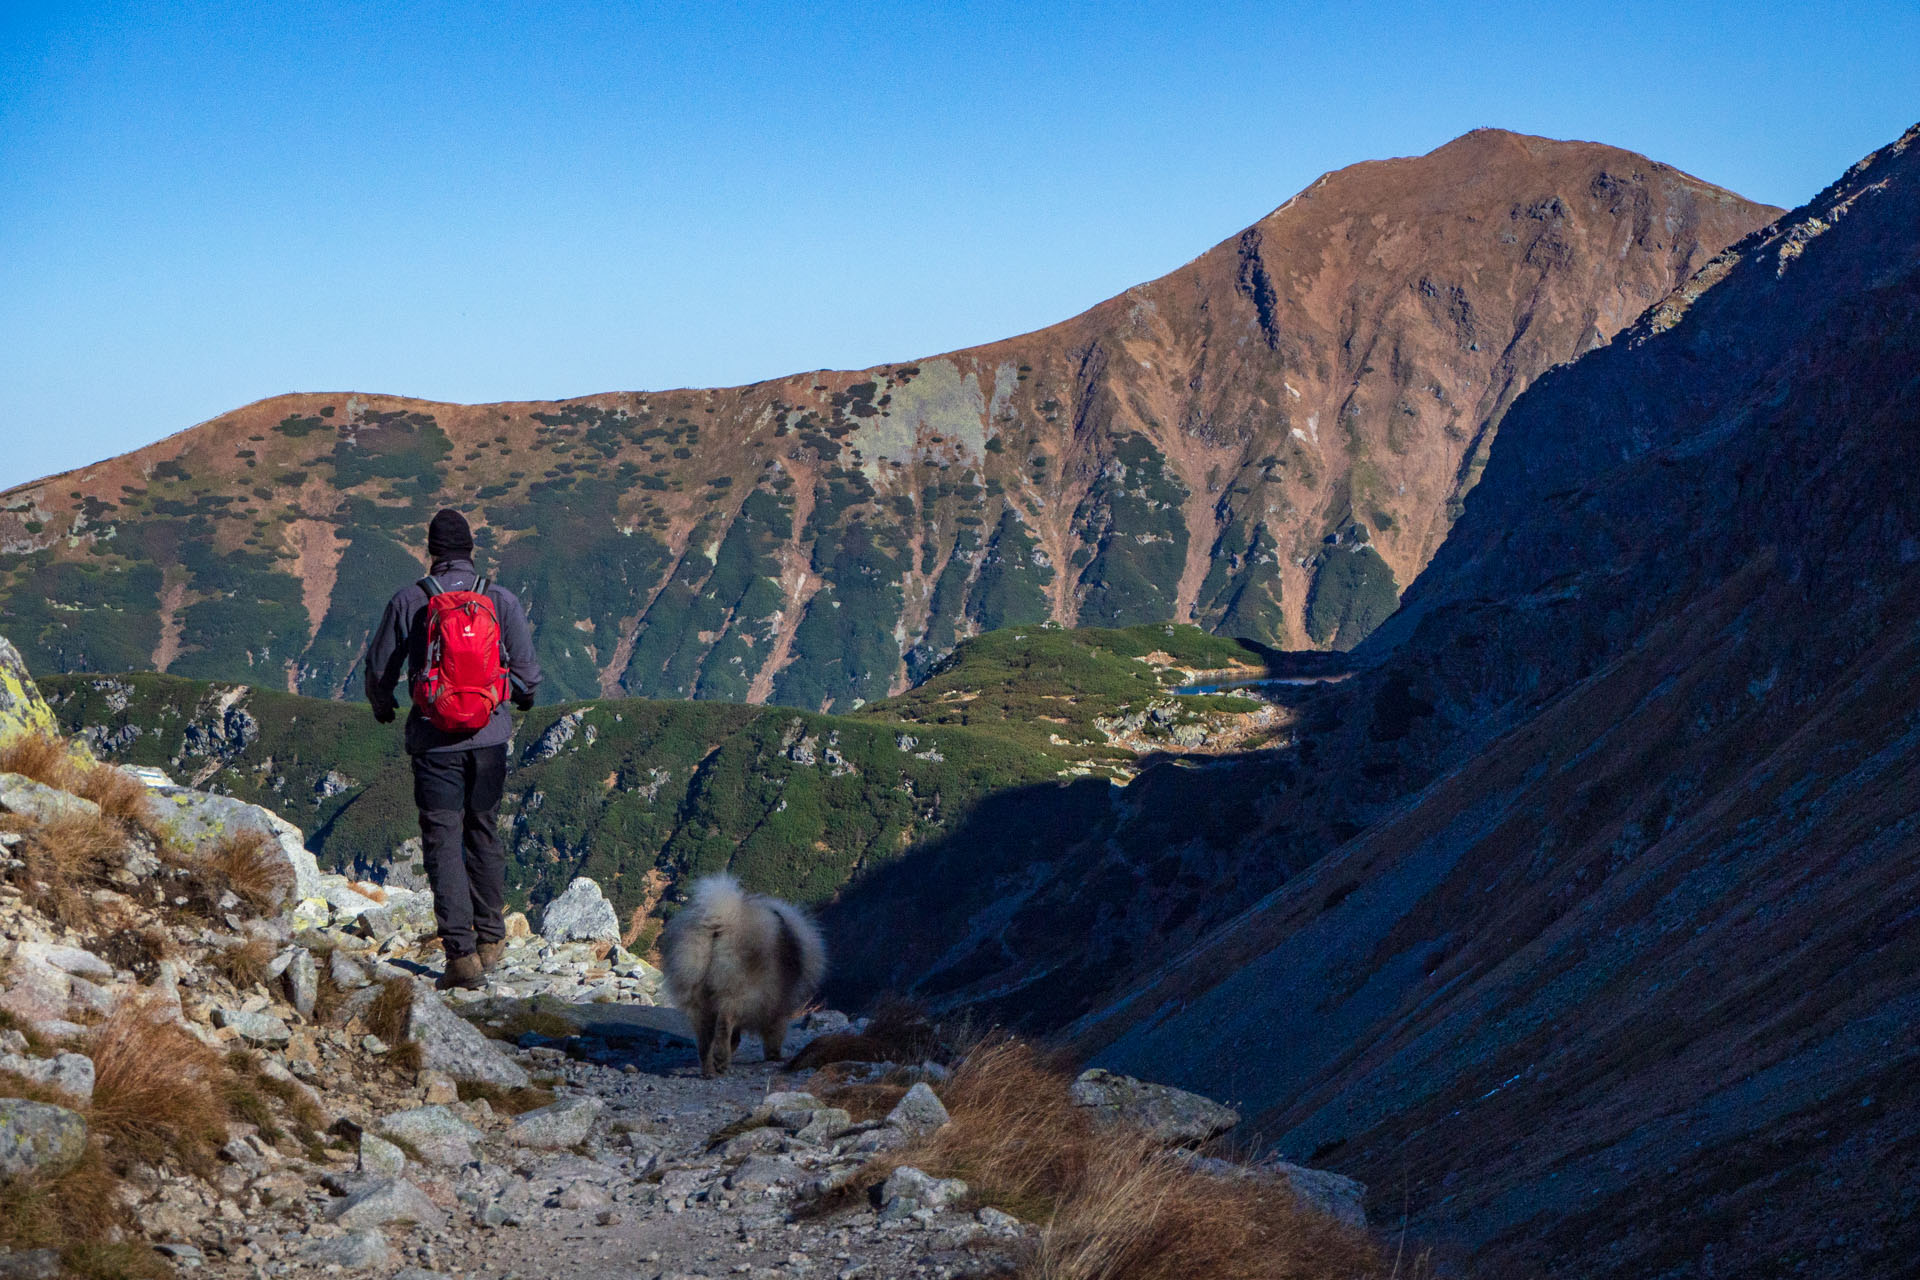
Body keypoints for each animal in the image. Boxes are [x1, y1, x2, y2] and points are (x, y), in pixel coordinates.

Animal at [660, 875, 825, 1074]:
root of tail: (720, 921)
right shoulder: (778, 1004)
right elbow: (774, 1033)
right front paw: (775, 1056)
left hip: (696, 992)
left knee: (705, 1037)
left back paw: (709, 1070)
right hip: (738, 990)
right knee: (725, 1024)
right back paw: (721, 1059)